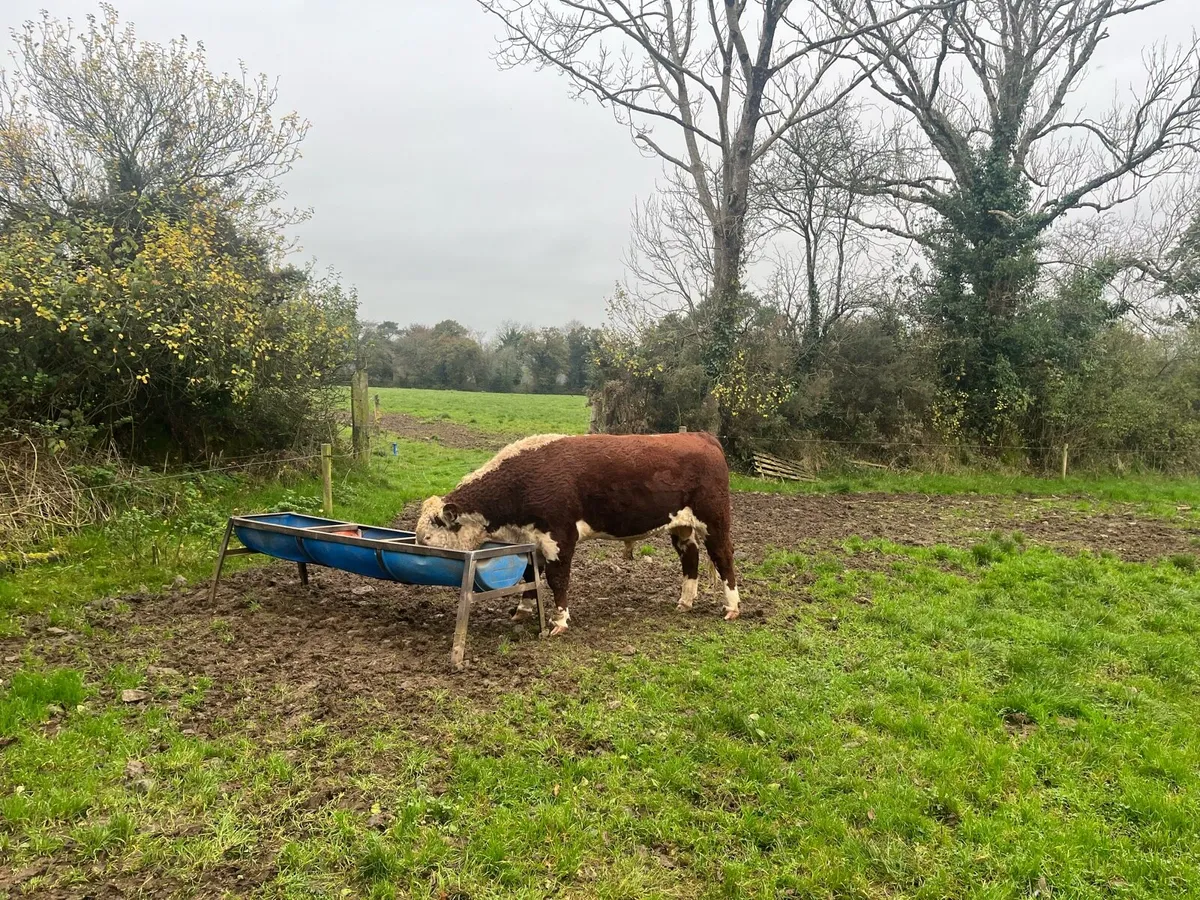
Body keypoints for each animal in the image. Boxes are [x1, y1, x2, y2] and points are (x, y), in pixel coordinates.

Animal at [414, 431, 740, 635]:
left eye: (428, 537)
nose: (421, 553)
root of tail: (699, 436)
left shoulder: (559, 537)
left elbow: (558, 579)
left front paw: (559, 620)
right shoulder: (532, 540)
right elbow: (530, 577)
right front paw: (522, 610)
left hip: (714, 520)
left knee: (723, 557)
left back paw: (732, 607)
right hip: (681, 526)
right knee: (690, 558)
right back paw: (685, 603)